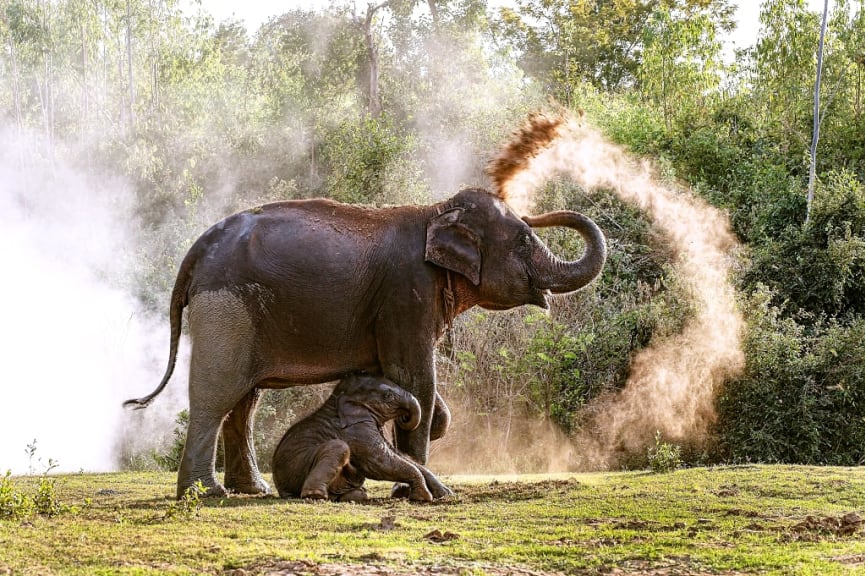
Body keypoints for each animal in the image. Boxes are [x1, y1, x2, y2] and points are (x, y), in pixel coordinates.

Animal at [272, 374, 452, 500]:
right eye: (388, 396)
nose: (405, 417)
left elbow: (395, 454)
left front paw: (445, 493)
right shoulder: (356, 430)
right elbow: (379, 461)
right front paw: (424, 497)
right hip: (296, 469)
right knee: (338, 447)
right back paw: (315, 496)